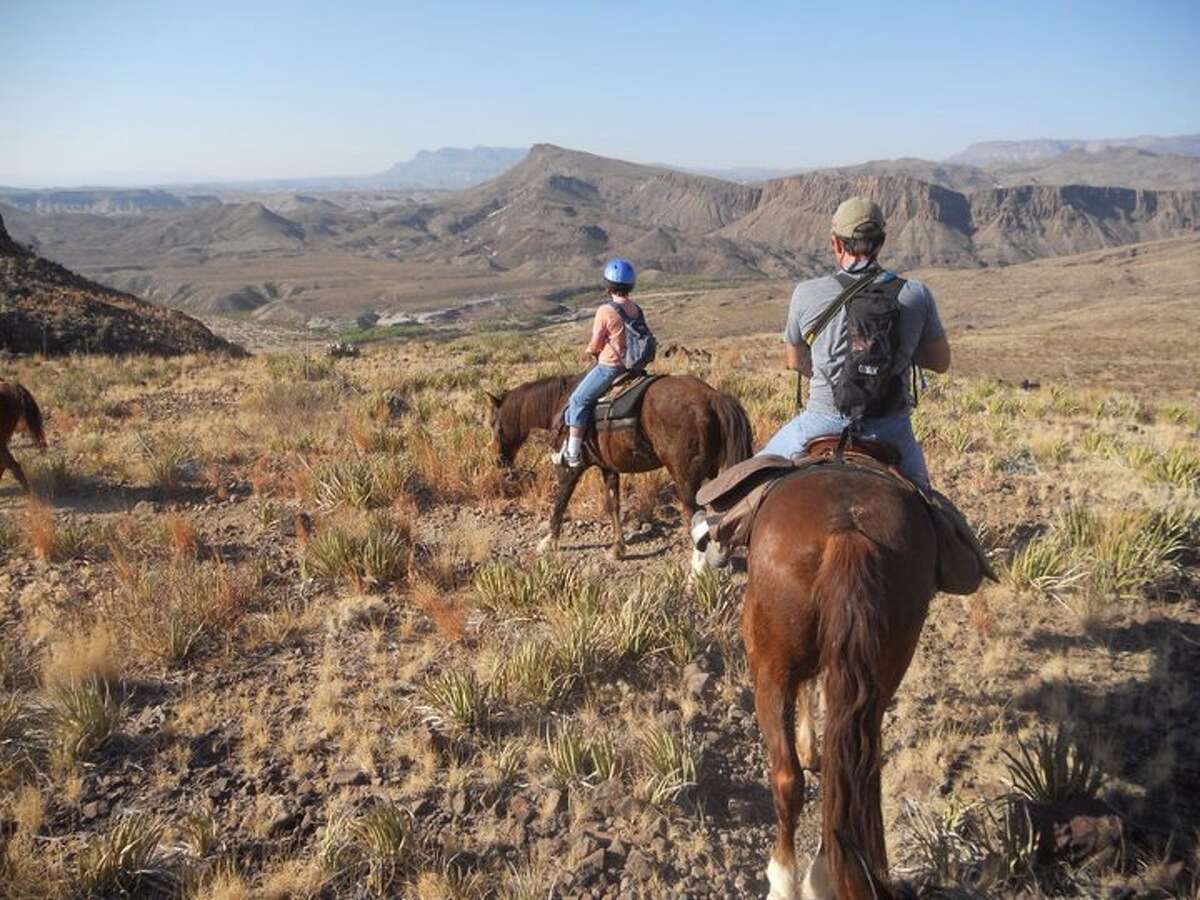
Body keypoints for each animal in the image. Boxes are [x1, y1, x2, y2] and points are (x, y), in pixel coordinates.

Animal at [487, 372, 748, 556]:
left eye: (493, 424)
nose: (499, 461)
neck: (559, 406)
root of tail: (712, 397)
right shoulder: (608, 468)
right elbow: (613, 504)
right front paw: (618, 547)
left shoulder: (569, 469)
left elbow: (560, 501)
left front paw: (549, 541)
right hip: (714, 474)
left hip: (686, 479)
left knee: (696, 517)